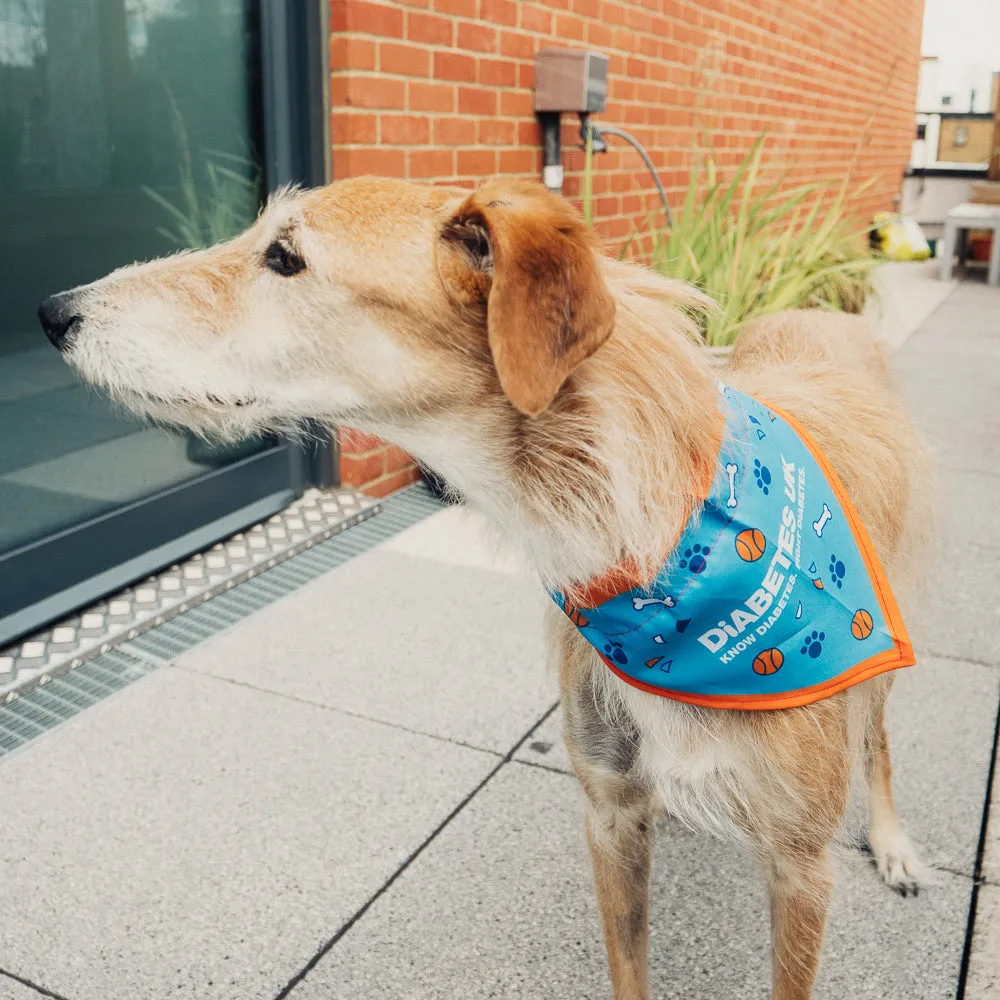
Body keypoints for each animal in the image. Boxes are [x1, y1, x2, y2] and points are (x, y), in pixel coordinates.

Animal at [39, 176, 928, 996]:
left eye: (284, 257)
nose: (53, 312)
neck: (663, 543)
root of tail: (824, 313)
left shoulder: (800, 866)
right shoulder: (609, 813)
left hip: (881, 644)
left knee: (880, 740)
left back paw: (893, 844)